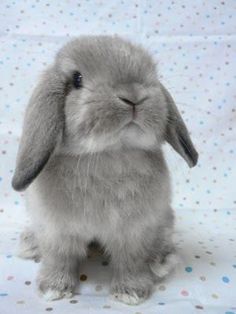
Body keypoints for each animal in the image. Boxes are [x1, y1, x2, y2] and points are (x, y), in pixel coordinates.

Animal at [12, 35, 197, 306]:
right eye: (77, 79)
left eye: (151, 75)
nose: (133, 96)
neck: (107, 155)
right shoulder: (57, 231)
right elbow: (59, 259)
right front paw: (53, 289)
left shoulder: (134, 232)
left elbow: (131, 261)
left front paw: (131, 292)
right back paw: (29, 244)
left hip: (163, 218)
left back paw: (161, 260)